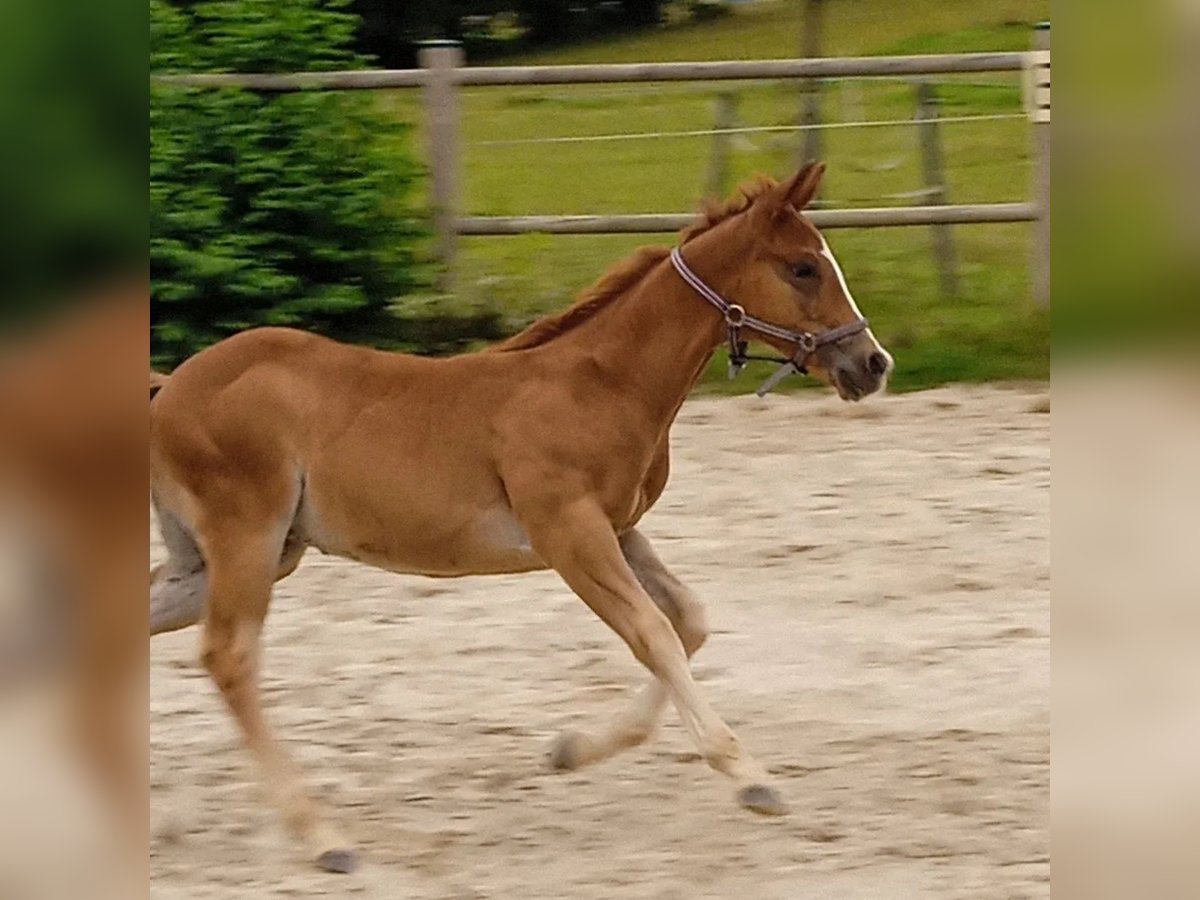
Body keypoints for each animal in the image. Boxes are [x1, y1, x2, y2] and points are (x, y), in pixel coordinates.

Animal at [150, 164, 892, 873]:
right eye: (803, 267)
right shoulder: (568, 532)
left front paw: (572, 749)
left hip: (229, 557)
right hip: (248, 537)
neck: (603, 384)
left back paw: (166, 818)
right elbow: (654, 634)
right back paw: (321, 837)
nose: (872, 364)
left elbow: (688, 622)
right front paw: (751, 778)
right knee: (229, 657)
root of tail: (169, 390)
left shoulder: (618, 527)